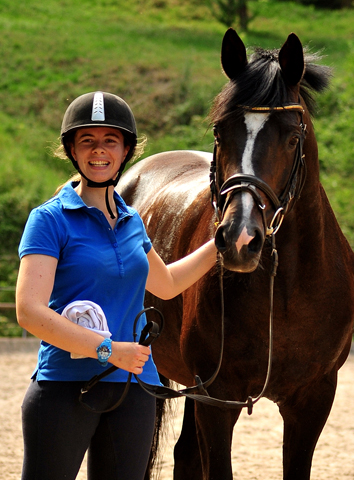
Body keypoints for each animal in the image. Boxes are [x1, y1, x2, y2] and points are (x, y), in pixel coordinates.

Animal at [118, 30, 354, 480]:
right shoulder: (217, 399)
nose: (241, 239)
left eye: (292, 137)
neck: (282, 292)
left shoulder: (312, 400)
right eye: (219, 132)